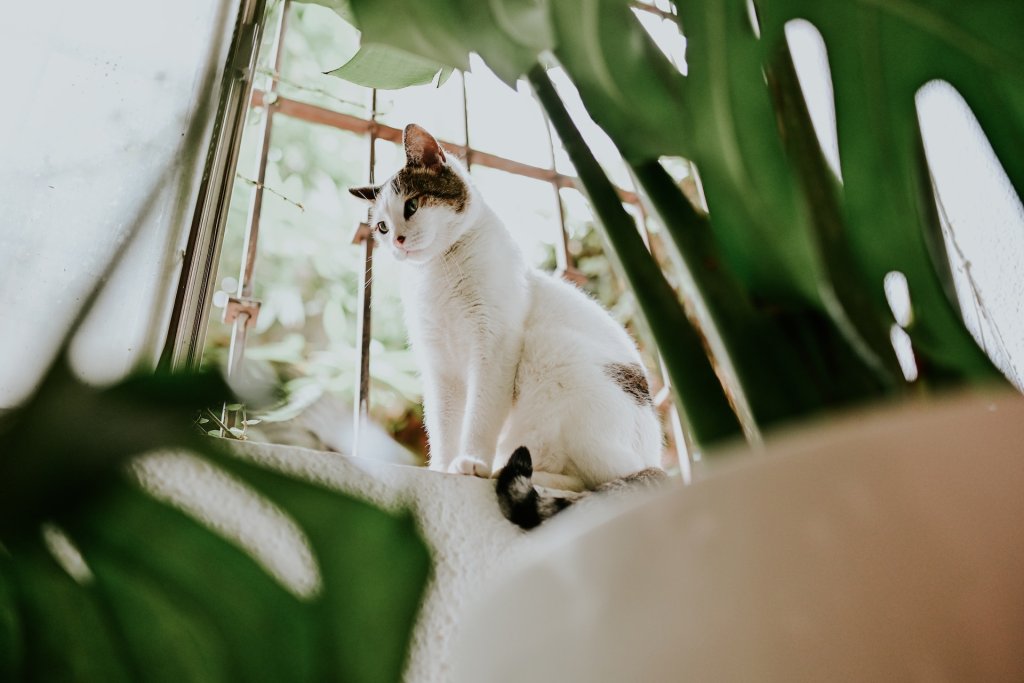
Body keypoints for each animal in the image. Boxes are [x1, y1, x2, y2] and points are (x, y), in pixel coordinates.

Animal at [352, 122, 667, 528]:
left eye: (411, 205)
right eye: (381, 227)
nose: (399, 242)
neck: (437, 275)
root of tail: (655, 455)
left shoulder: (494, 345)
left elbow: (480, 414)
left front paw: (471, 461)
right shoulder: (440, 367)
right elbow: (442, 424)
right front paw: (441, 467)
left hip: (554, 356)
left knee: (596, 479)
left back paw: (502, 470)